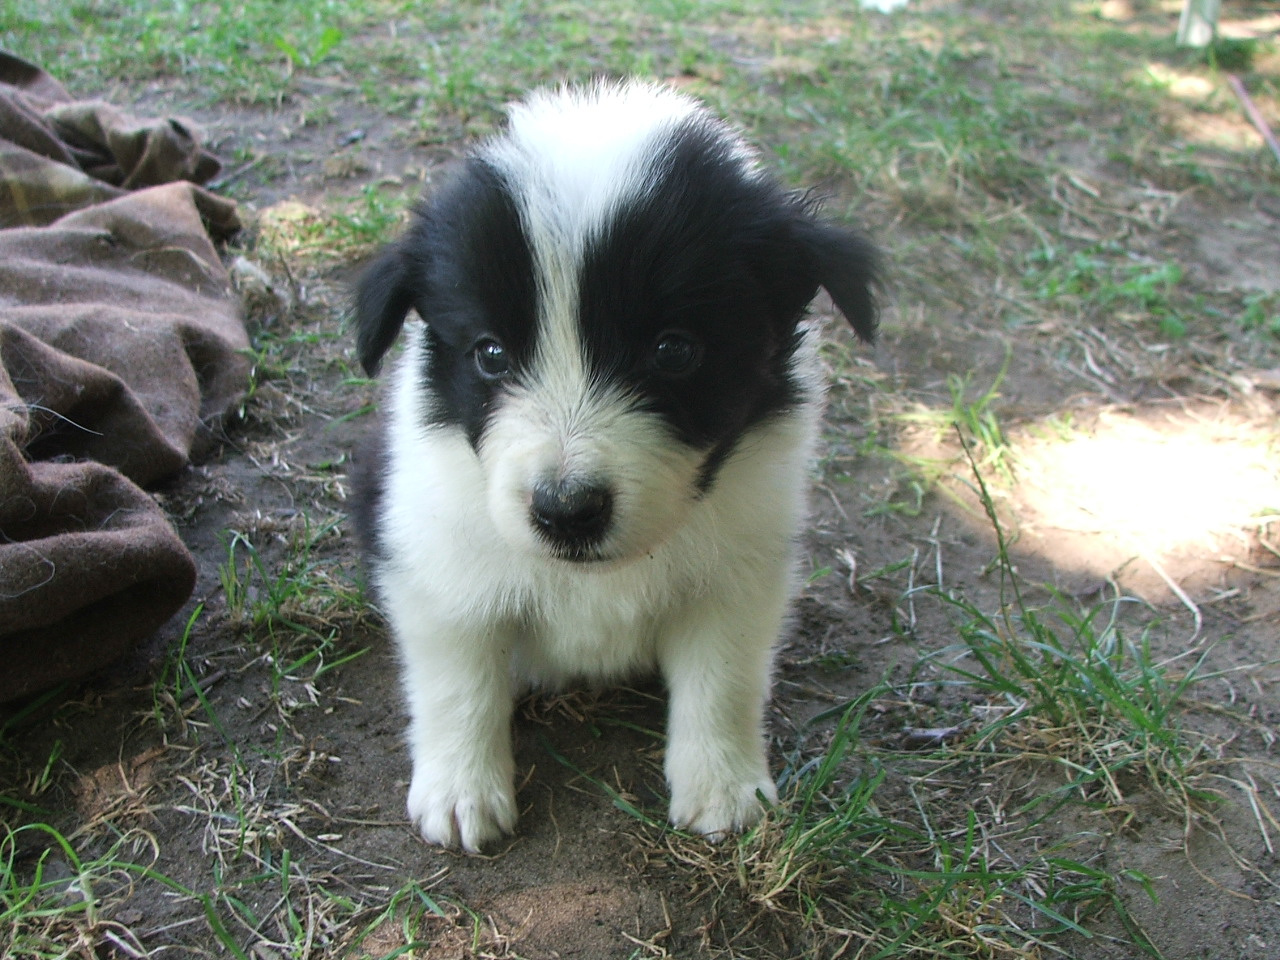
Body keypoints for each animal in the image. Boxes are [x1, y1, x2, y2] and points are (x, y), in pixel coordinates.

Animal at [353, 79, 880, 855]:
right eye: (490, 353)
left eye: (673, 350)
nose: (566, 511)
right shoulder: (438, 563)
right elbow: (458, 679)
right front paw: (460, 790)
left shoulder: (741, 571)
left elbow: (722, 679)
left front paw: (722, 784)